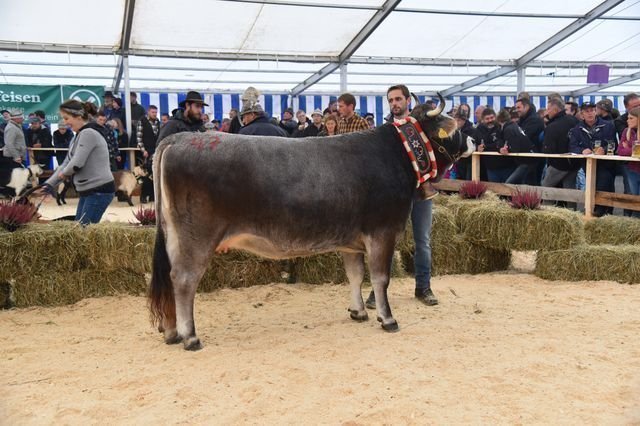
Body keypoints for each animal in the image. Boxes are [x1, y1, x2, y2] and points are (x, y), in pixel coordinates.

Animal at [149, 95, 474, 350]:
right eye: (453, 124)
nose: (472, 139)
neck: (396, 153)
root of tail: (178, 139)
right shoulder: (382, 231)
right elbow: (380, 278)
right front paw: (387, 318)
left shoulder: (352, 241)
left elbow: (355, 276)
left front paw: (358, 312)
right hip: (196, 238)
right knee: (183, 279)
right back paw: (190, 337)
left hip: (174, 237)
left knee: (168, 277)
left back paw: (171, 331)